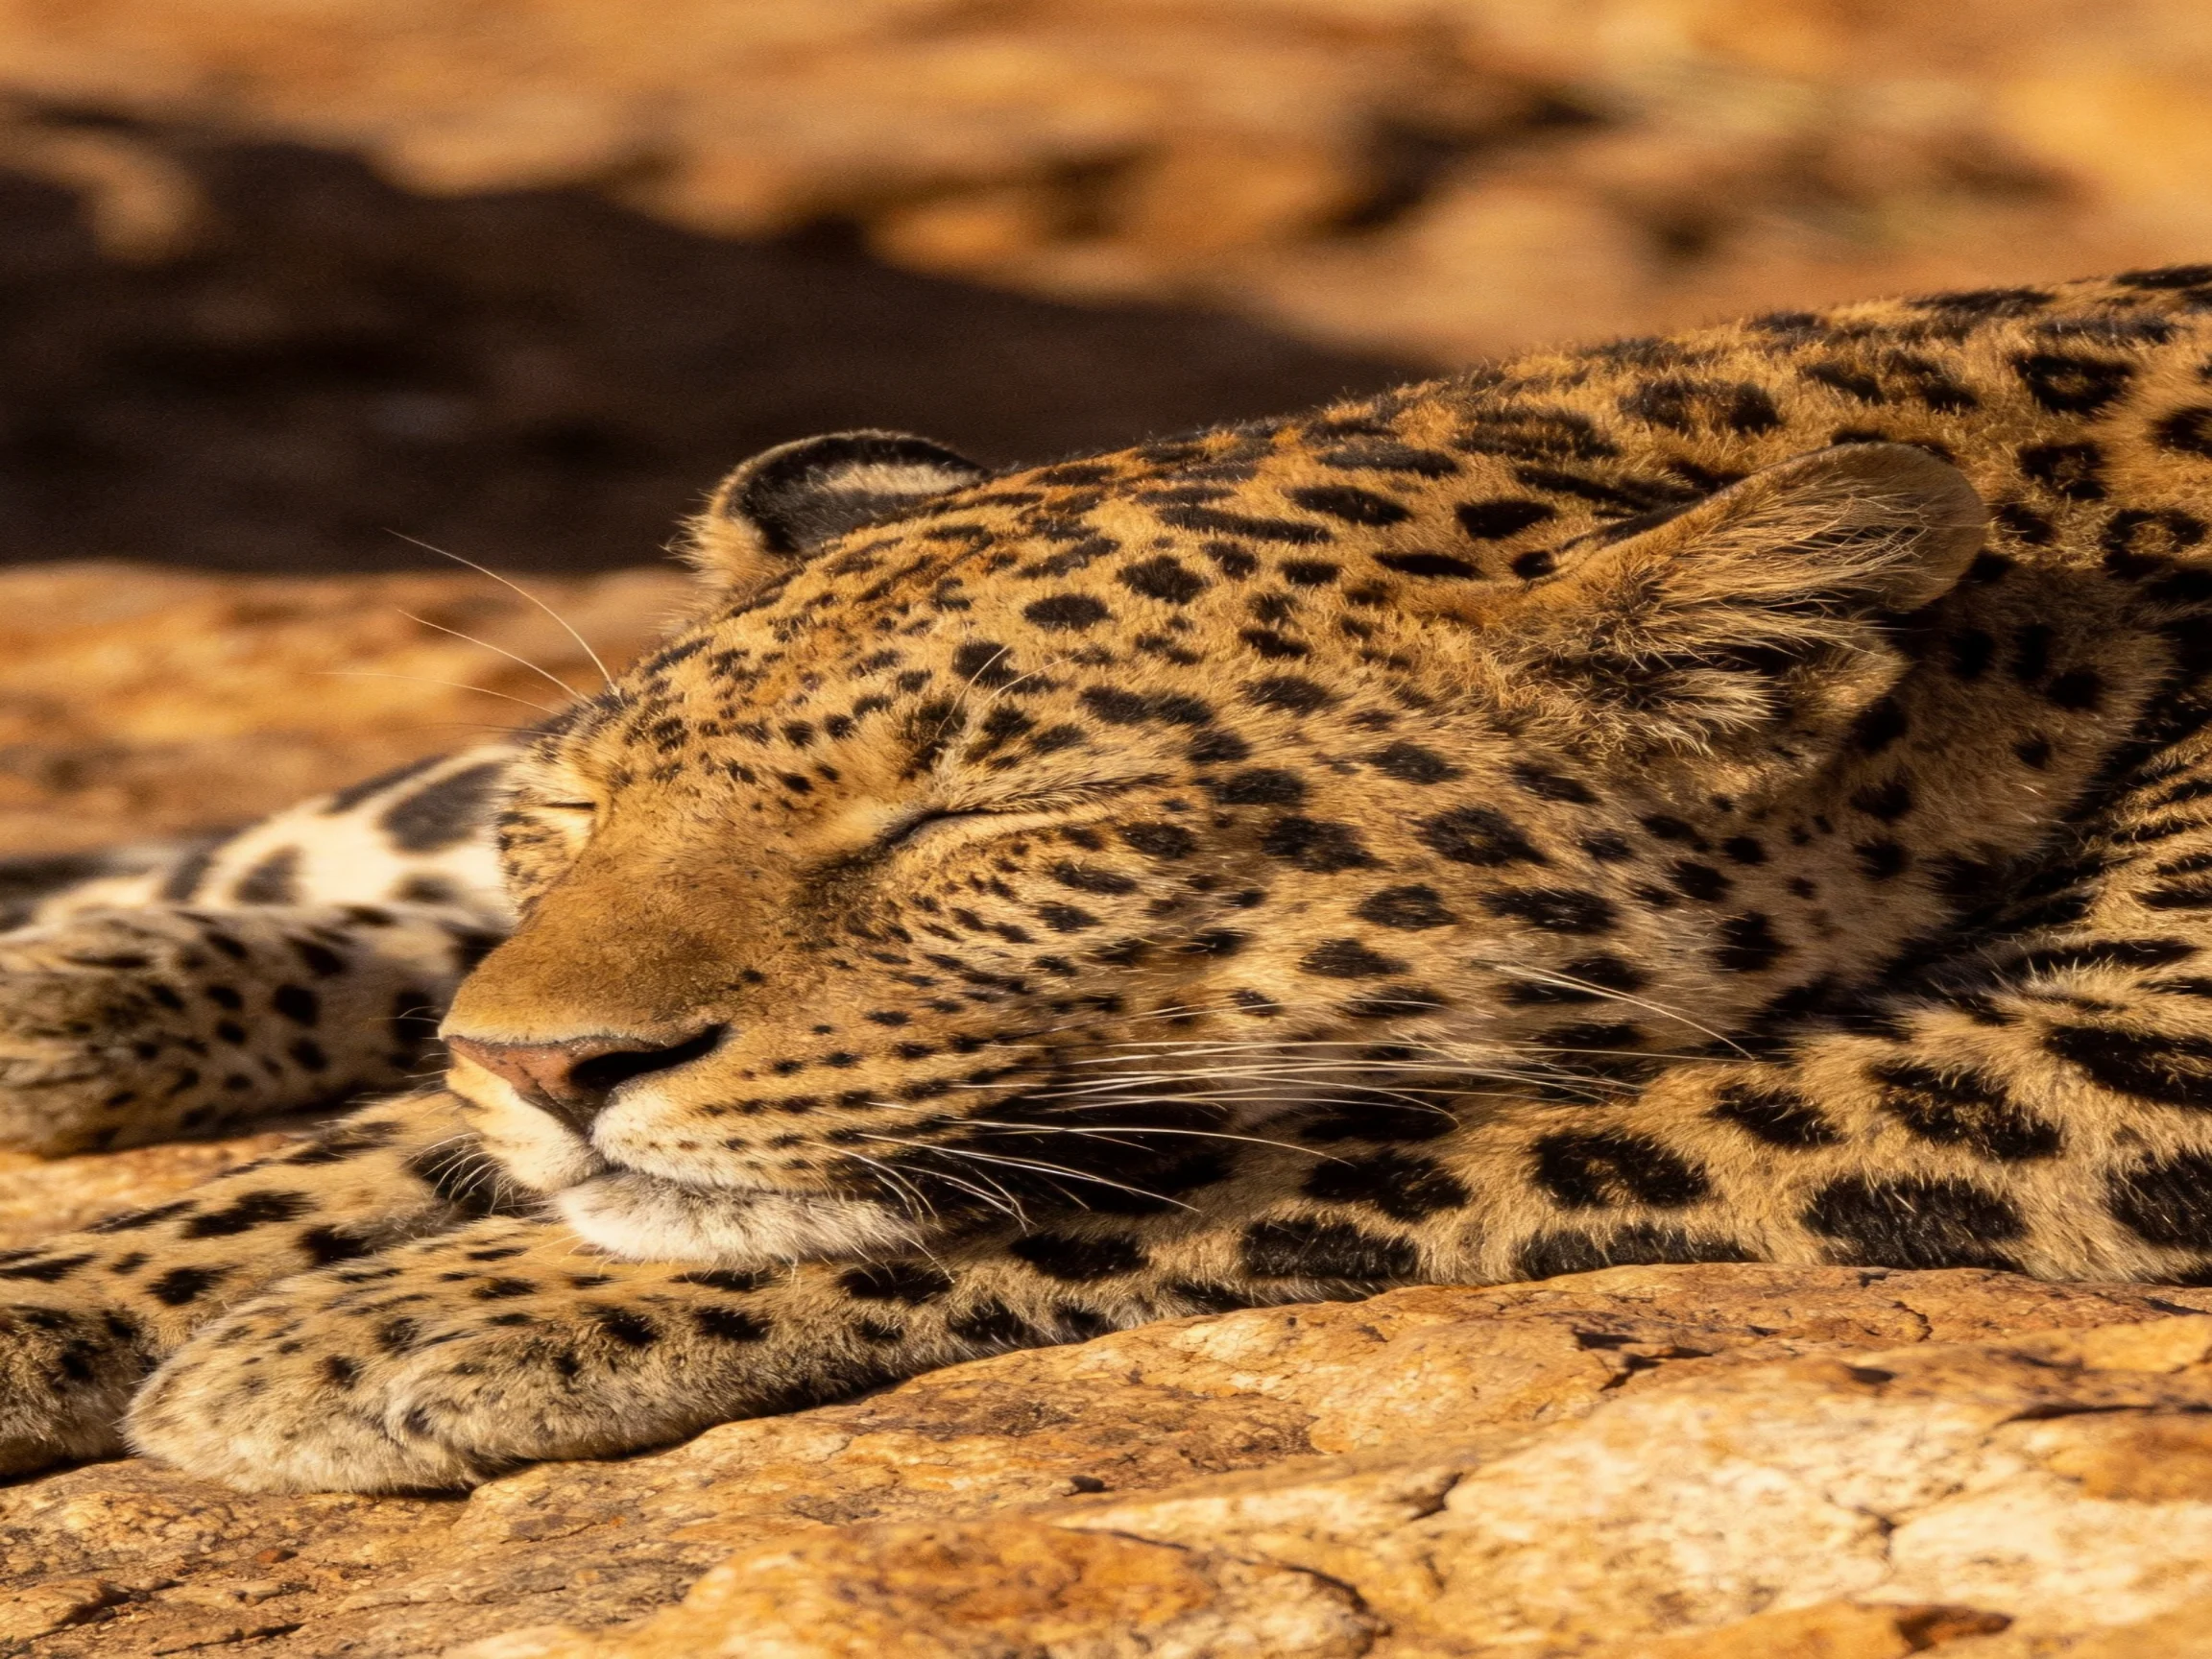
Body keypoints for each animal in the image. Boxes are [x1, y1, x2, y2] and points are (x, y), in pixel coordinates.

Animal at [9, 267, 2212, 1495]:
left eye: (975, 827)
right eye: (579, 818)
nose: (550, 1071)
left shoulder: (2142, 1051)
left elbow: (1244, 1164)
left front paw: (390, 1328)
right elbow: (392, 1130)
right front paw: (72, 1299)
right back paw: (89, 987)